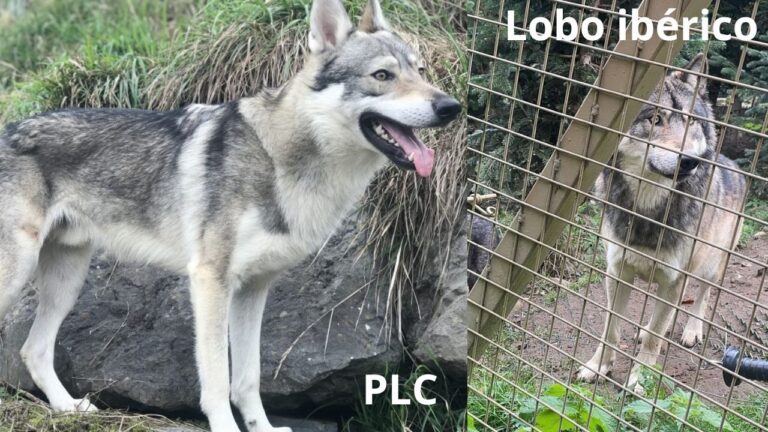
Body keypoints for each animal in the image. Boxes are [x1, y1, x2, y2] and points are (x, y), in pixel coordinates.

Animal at [0, 0, 460, 430]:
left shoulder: (253, 289)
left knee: (32, 350)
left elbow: (248, 377)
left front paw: (263, 427)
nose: (451, 106)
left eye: (420, 70)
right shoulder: (210, 281)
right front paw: (225, 427)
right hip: (21, 274)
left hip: (67, 281)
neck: (283, 159)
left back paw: (69, 408)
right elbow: (218, 378)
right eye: (382, 76)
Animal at [575, 54, 745, 391]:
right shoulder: (617, 271)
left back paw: (691, 331)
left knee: (701, 297)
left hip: (711, 265)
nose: (690, 161)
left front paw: (640, 379)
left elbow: (654, 338)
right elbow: (611, 328)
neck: (648, 210)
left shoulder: (673, 278)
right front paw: (598, 366)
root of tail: (733, 163)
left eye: (692, 122)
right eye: (655, 120)